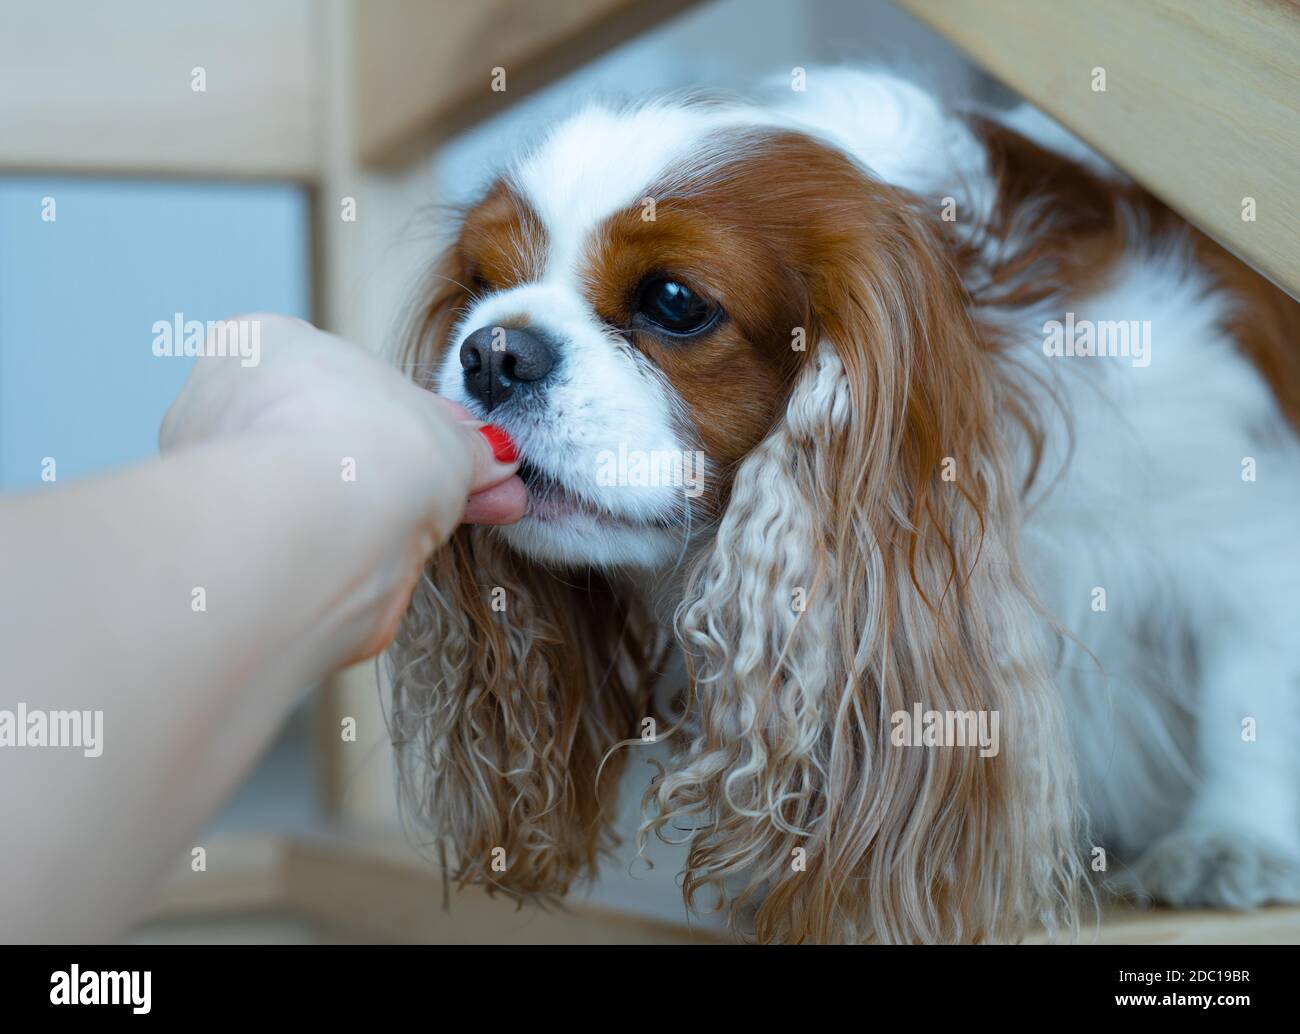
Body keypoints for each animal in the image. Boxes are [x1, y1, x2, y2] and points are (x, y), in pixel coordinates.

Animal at [384, 66, 1300, 946]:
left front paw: (1232, 840)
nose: (493, 351)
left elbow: (1248, 691)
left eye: (674, 301)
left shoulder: (1246, 528)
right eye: (481, 284)